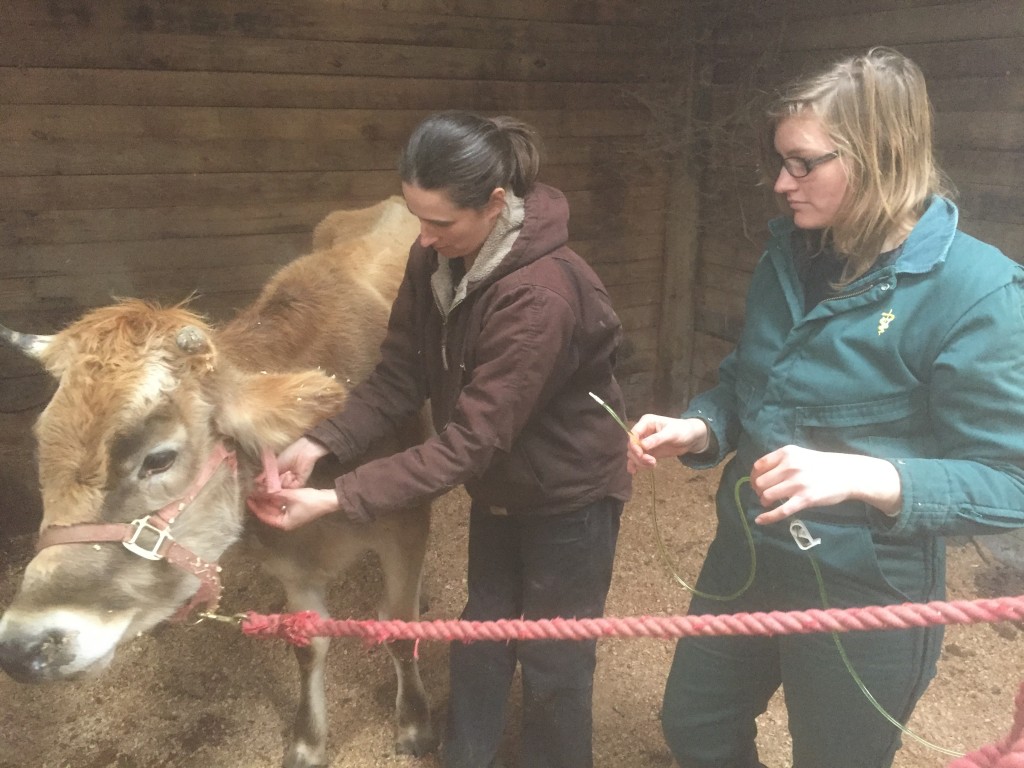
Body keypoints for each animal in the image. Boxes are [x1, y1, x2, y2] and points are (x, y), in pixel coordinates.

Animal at [0, 199, 436, 768]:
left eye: (159, 459)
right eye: (41, 447)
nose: (22, 645)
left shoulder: (406, 528)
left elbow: (400, 627)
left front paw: (414, 724)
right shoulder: (288, 560)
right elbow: (307, 645)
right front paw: (307, 740)